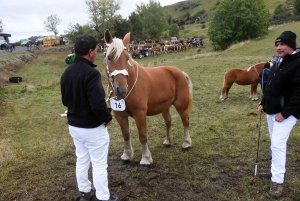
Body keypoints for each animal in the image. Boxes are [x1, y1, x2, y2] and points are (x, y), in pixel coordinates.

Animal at [103, 29, 192, 167]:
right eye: (109, 57)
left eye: (127, 58)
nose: (121, 90)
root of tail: (180, 72)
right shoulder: (120, 115)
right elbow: (126, 135)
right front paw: (126, 156)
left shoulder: (140, 114)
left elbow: (143, 136)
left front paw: (145, 158)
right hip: (165, 107)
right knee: (168, 122)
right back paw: (168, 141)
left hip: (180, 105)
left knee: (185, 121)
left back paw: (186, 143)